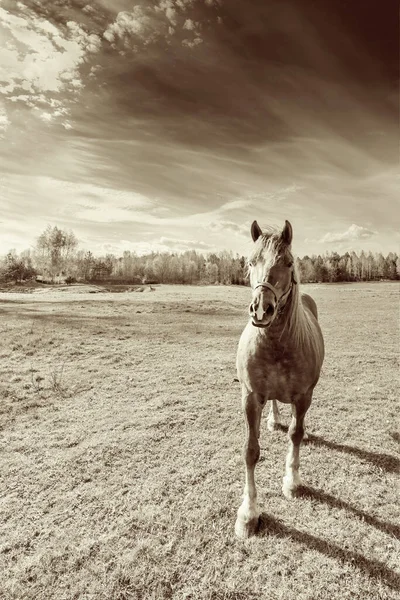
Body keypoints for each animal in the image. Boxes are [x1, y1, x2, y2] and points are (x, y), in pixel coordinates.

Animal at [234, 220, 324, 540]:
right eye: (250, 262)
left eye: (287, 263)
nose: (262, 308)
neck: (275, 343)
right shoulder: (250, 398)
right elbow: (250, 452)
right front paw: (248, 513)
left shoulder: (303, 396)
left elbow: (295, 434)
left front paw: (292, 481)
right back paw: (273, 420)